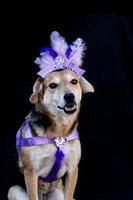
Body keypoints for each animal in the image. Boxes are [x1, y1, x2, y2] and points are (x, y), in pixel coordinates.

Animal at [7, 31, 94, 200]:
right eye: (52, 85)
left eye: (74, 81)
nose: (69, 96)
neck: (58, 132)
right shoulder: (31, 173)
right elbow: (33, 195)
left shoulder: (73, 169)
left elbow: (69, 194)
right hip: (13, 190)